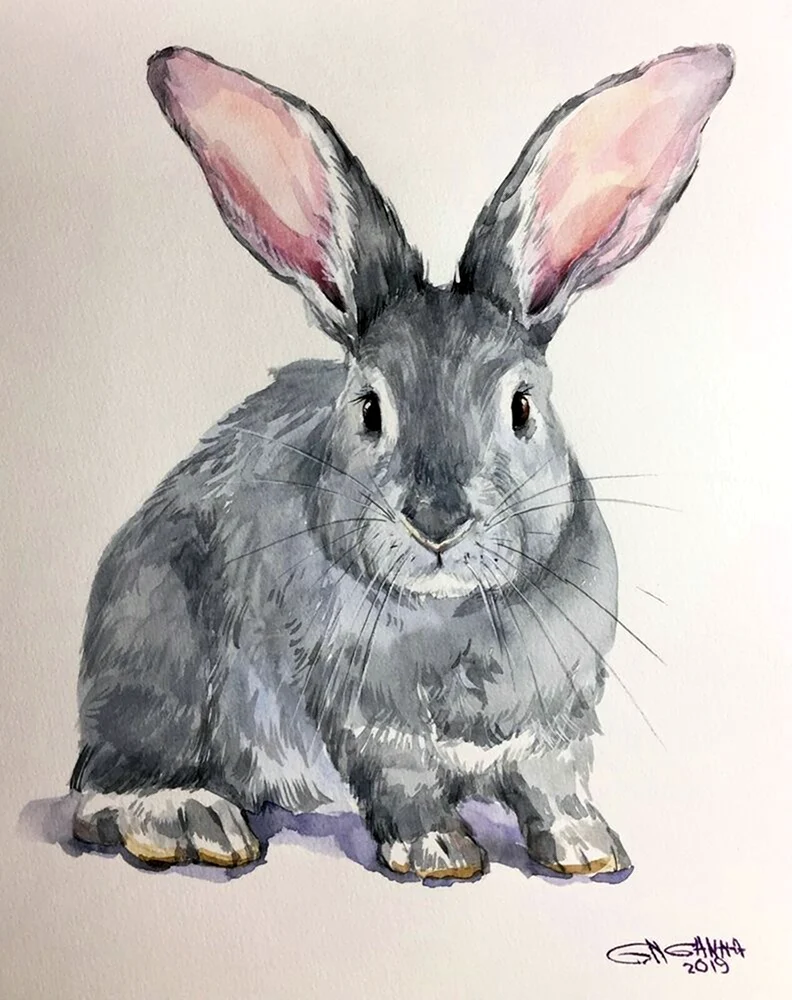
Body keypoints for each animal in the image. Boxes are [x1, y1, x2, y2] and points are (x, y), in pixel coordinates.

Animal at [70, 43, 733, 879]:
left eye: (521, 406)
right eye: (369, 408)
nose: (437, 520)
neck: (455, 612)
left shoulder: (559, 724)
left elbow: (555, 783)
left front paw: (586, 849)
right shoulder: (372, 724)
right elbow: (405, 783)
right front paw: (439, 852)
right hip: (156, 653)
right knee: (103, 783)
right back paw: (188, 818)